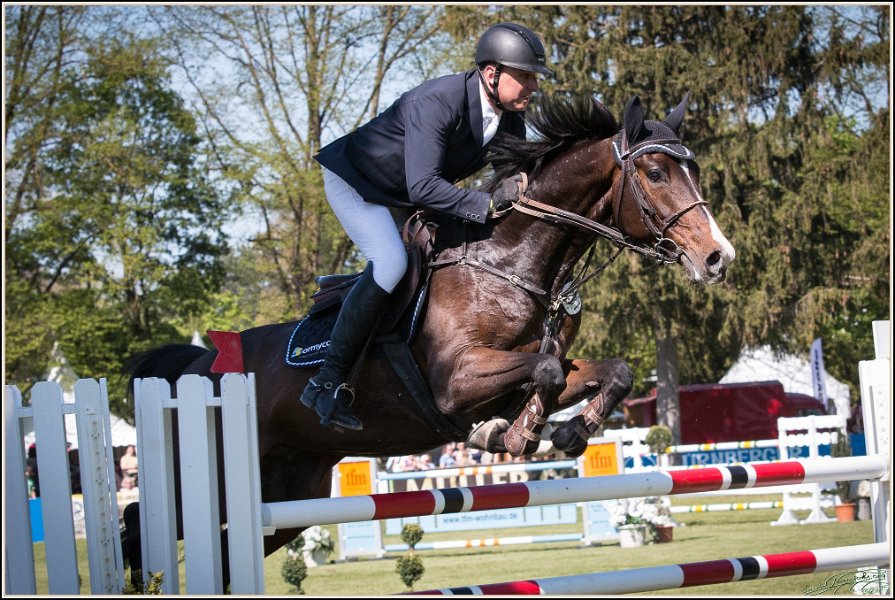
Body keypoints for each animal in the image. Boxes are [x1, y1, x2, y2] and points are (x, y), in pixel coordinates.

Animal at [121, 92, 735, 588]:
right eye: (654, 172)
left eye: (692, 169)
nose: (717, 258)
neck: (512, 262)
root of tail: (200, 366)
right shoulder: (455, 380)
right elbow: (543, 374)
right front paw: (509, 435)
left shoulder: (534, 364)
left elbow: (602, 372)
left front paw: (566, 432)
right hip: (211, 476)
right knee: (137, 522)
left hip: (289, 490)